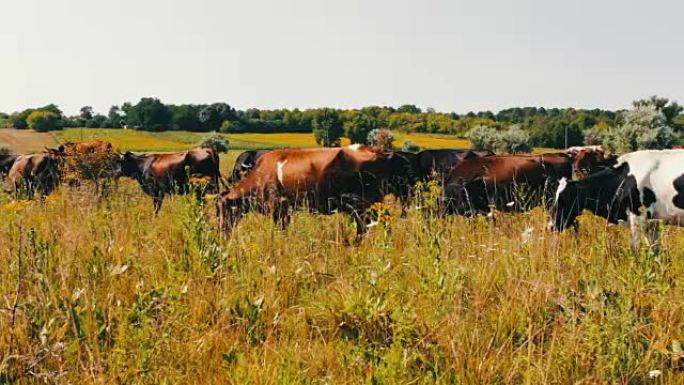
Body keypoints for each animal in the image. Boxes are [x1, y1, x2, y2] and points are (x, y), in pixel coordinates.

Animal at [219, 146, 412, 242]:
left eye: (222, 210)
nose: (222, 234)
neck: (262, 173)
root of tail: (378, 151)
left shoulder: (279, 206)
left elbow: (281, 230)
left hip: (365, 202)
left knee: (371, 224)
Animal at [548, 148, 684, 254]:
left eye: (564, 198)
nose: (550, 225)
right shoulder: (653, 222)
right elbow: (655, 250)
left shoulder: (638, 216)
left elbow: (636, 248)